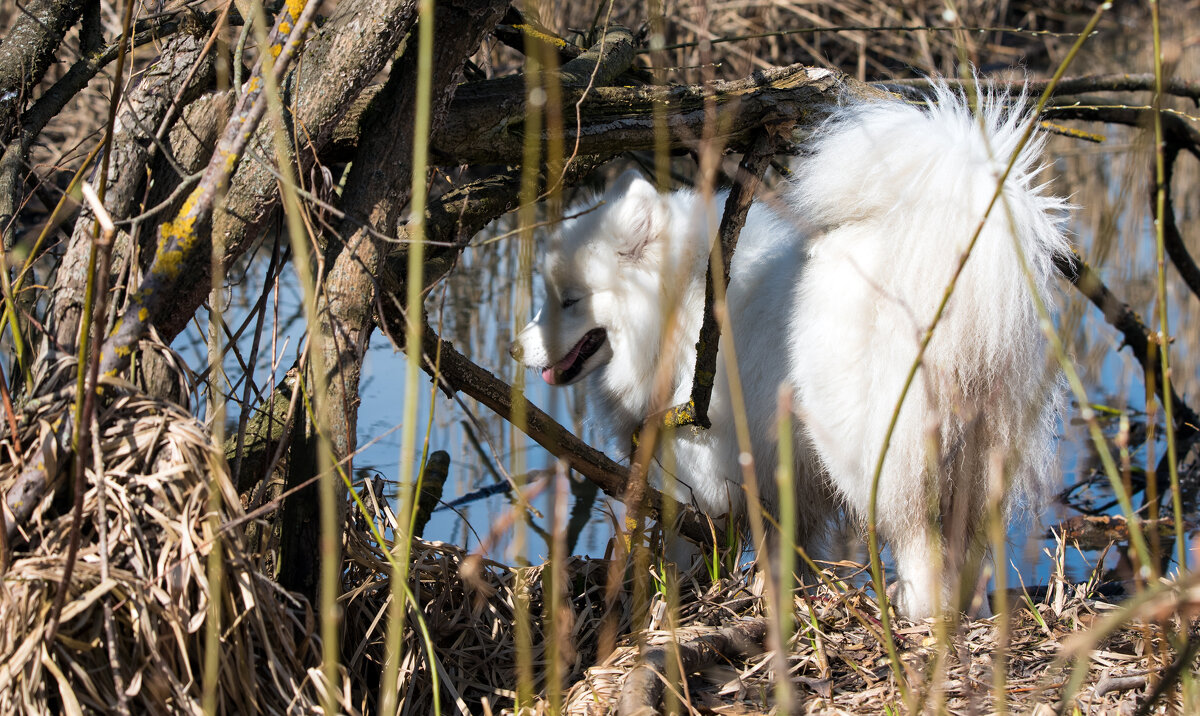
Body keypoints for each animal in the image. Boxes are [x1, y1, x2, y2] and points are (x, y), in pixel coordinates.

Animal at [506, 85, 1070, 618]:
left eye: (570, 301)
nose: (514, 348)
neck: (679, 310)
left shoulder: (700, 477)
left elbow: (687, 551)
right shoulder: (788, 490)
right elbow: (786, 557)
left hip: (872, 452)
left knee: (916, 539)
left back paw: (919, 615)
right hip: (977, 458)